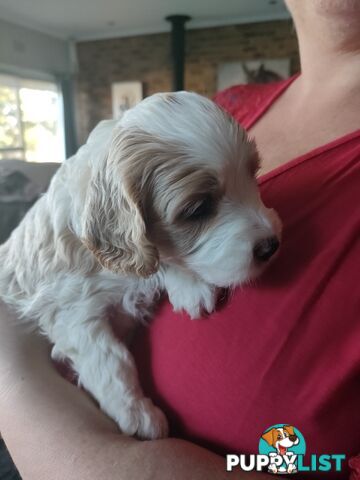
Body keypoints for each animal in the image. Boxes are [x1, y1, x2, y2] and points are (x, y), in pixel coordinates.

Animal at [0, 92, 282, 440]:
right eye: (199, 208)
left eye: (253, 175)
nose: (271, 245)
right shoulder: (70, 310)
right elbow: (109, 359)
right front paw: (137, 413)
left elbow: (155, 258)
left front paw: (189, 286)